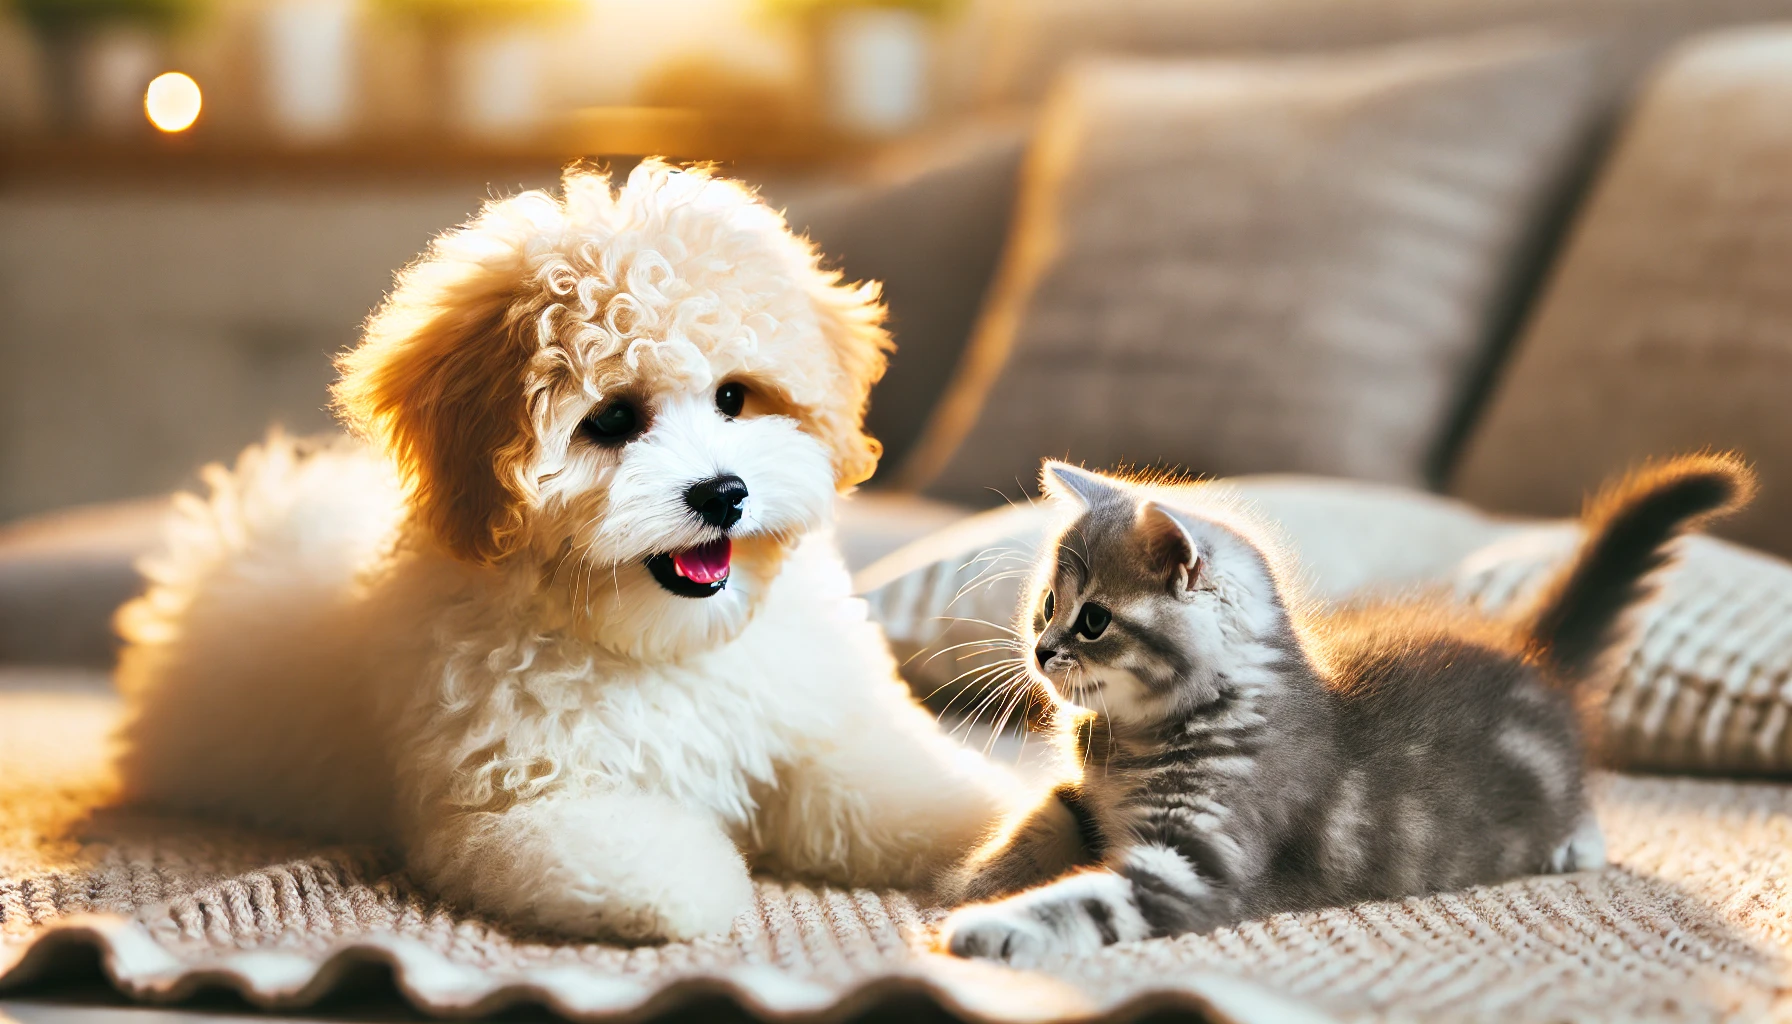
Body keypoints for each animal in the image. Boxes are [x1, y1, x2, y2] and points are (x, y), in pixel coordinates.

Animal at [112, 162, 1017, 946]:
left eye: (734, 397)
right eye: (612, 419)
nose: (723, 493)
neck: (660, 646)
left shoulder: (813, 725)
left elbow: (881, 785)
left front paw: (991, 824)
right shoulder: (522, 799)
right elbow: (623, 847)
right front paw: (681, 888)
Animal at [939, 451, 1748, 968]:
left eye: (1094, 621)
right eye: (1047, 604)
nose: (1041, 650)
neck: (1138, 740)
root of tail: (1531, 656)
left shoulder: (1202, 860)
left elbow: (1090, 901)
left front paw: (991, 926)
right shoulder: (1084, 794)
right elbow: (1041, 815)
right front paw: (978, 877)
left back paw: (1575, 845)